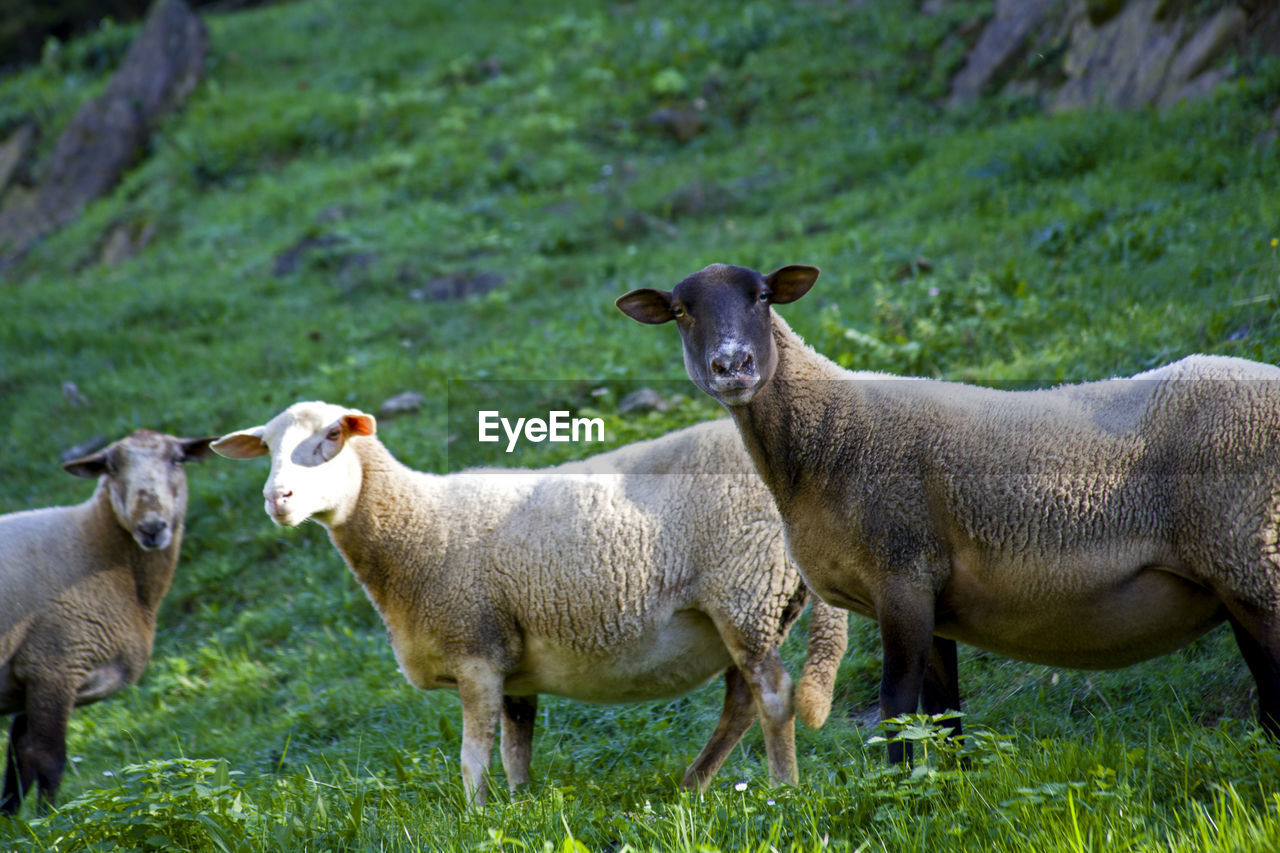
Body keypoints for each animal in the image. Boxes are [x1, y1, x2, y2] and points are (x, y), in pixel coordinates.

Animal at [0, 427, 215, 809]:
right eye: (111, 468)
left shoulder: (28, 674)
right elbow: (49, 760)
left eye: (177, 459)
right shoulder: (54, 664)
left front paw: (15, 821)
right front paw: (51, 819)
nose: (152, 527)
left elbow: (18, 766)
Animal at [211, 404, 849, 804]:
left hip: (746, 590)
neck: (415, 527)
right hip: (750, 607)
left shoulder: (475, 648)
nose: (277, 498)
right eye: (265, 448)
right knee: (740, 700)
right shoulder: (514, 666)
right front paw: (520, 807)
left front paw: (474, 817)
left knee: (773, 695)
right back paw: (692, 786)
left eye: (332, 438)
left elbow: (474, 755)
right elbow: (517, 748)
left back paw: (782, 791)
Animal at [616, 261, 1280, 758]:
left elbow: (895, 704)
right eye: (681, 311)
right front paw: (948, 790)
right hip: (1237, 575)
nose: (732, 366)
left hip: (1250, 552)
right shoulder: (935, 596)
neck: (827, 438)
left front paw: (899, 795)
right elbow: (944, 713)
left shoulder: (902, 573)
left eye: (760, 296)